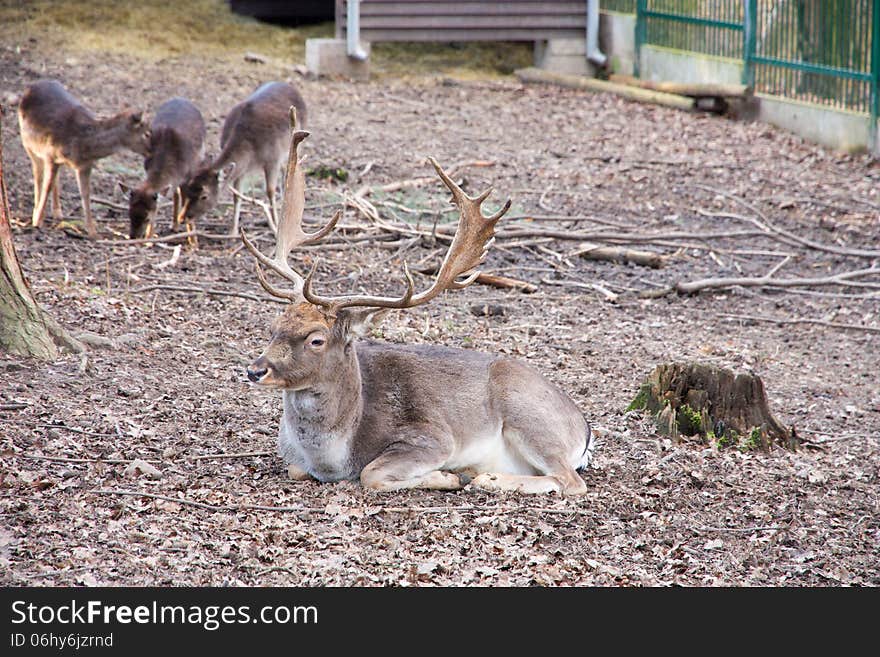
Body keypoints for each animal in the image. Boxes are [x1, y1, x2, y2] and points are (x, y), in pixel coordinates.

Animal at [16, 79, 151, 238]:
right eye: (147, 133)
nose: (153, 150)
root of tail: (33, 85)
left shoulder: (85, 165)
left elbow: (85, 195)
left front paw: (93, 232)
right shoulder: (50, 154)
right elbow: (47, 186)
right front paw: (37, 221)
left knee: (55, 178)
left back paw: (58, 213)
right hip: (28, 143)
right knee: (38, 175)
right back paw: (37, 211)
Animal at [119, 96, 207, 240]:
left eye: (146, 218)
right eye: (129, 214)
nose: (133, 236)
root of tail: (181, 98)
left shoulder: (189, 174)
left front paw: (194, 241)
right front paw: (149, 238)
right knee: (175, 192)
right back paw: (174, 226)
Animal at [177, 80, 308, 237]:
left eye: (204, 196)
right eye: (186, 191)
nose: (182, 218)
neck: (250, 148)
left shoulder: (273, 158)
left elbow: (270, 191)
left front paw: (276, 227)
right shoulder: (242, 168)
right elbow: (237, 196)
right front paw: (233, 231)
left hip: (297, 142)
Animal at [242, 113, 592, 494]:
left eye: (316, 339)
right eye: (273, 327)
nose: (255, 370)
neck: (332, 457)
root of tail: (584, 430)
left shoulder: (433, 437)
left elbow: (371, 473)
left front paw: (449, 475)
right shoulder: (293, 458)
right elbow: (296, 470)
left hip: (528, 413)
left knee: (571, 481)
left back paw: (483, 475)